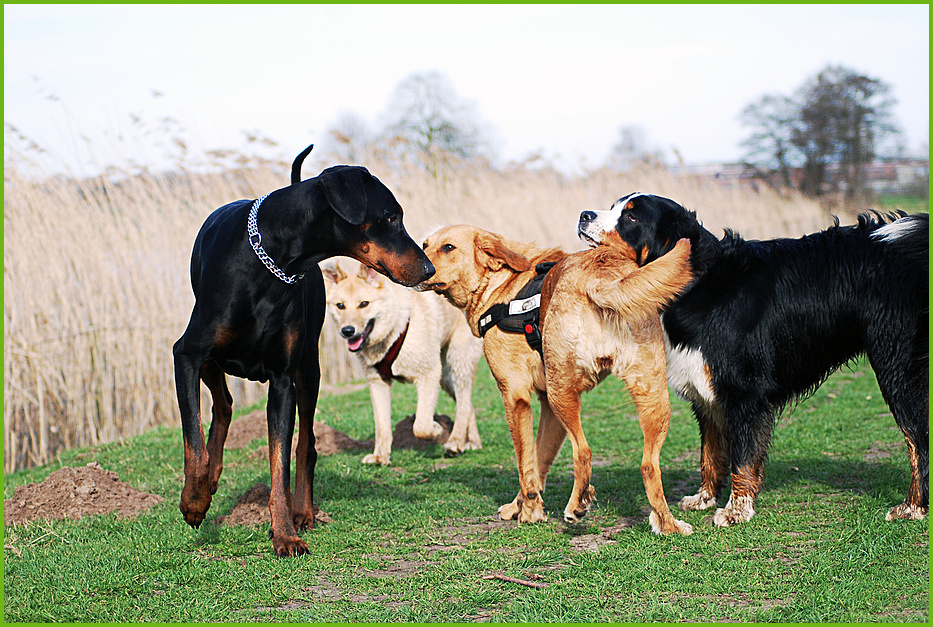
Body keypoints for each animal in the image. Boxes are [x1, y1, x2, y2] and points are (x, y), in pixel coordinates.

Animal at [173, 145, 436, 556]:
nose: (429, 269)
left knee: (306, 443)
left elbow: (280, 463)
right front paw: (194, 502)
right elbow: (193, 444)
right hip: (211, 358)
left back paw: (303, 511)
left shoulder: (282, 380)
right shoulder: (186, 354)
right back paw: (211, 481)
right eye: (391, 216)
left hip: (308, 370)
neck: (272, 260)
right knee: (224, 405)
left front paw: (284, 533)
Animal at [322, 256, 484, 466]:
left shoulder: (428, 374)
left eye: (364, 304)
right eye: (340, 305)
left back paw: (455, 441)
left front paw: (436, 429)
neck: (395, 327)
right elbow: (382, 426)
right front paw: (380, 456)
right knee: (467, 403)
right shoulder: (378, 383)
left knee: (463, 403)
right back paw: (472, 441)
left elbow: (421, 426)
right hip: (446, 377)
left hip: (457, 363)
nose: (347, 331)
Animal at [418, 226, 696, 536]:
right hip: (650, 395)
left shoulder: (516, 396)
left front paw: (529, 512)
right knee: (649, 465)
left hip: (561, 392)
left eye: (448, 247)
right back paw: (667, 523)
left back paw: (577, 506)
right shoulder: (548, 408)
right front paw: (521, 507)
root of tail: (602, 276)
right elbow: (539, 460)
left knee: (583, 452)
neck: (502, 284)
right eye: (425, 244)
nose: (420, 265)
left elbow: (526, 464)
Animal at [580, 194, 928, 528]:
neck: (701, 285)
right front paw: (705, 497)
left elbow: (743, 457)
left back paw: (913, 507)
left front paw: (736, 510)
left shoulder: (744, 393)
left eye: (631, 216)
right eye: (613, 206)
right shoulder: (707, 393)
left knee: (917, 437)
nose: (584, 214)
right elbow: (710, 454)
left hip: (896, 368)